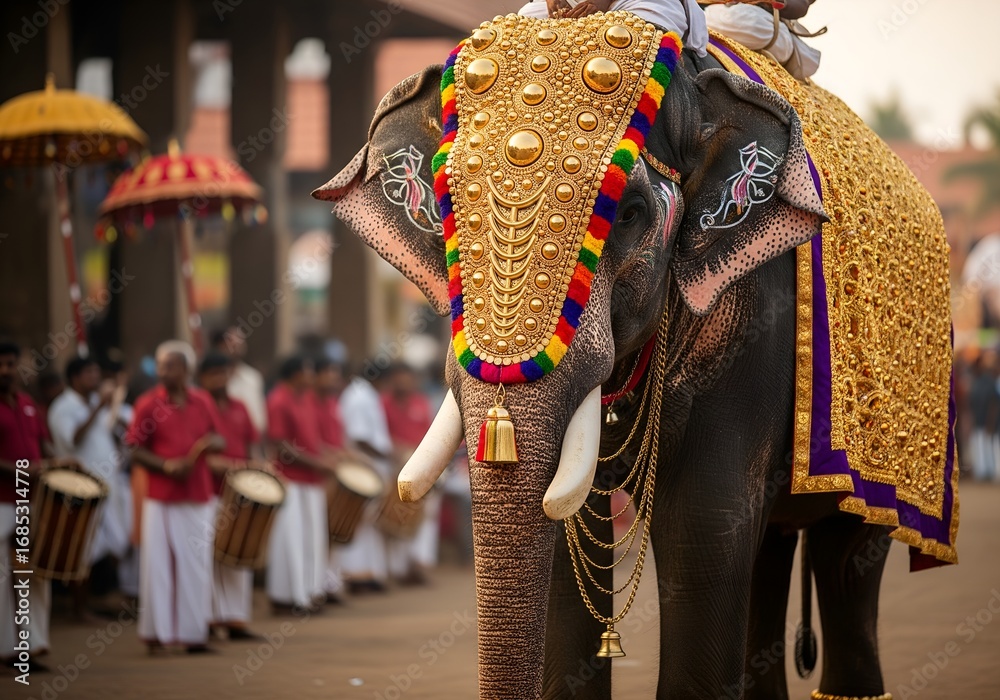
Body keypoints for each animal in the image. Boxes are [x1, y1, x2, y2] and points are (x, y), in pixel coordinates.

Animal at [314, 16, 950, 700]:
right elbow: (570, 539)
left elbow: (705, 528)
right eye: (443, 207)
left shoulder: (756, 319)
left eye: (629, 213)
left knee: (846, 551)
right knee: (772, 551)